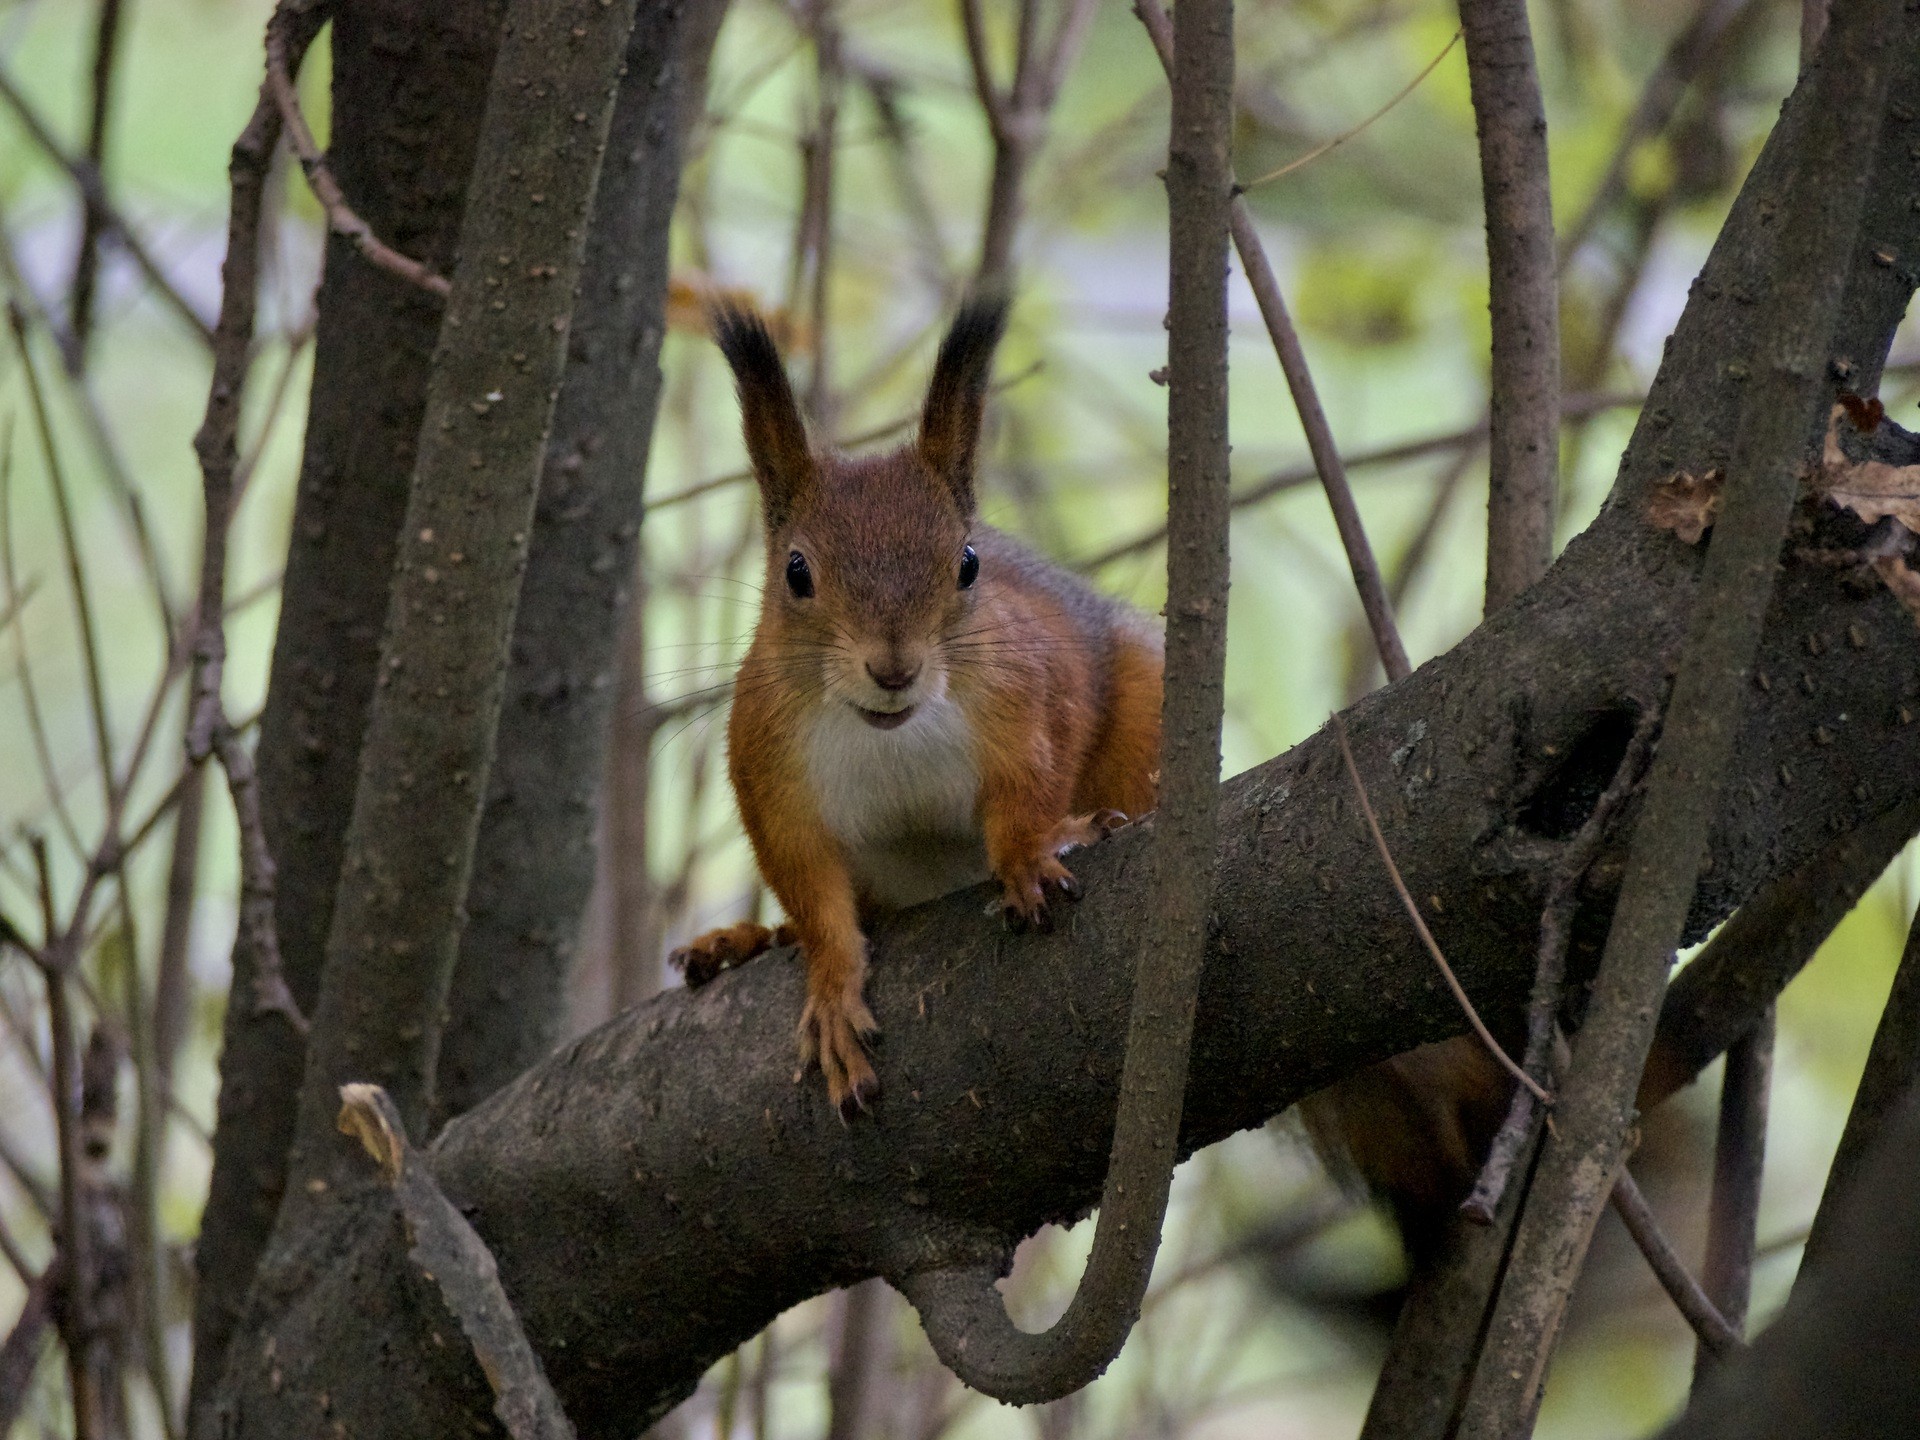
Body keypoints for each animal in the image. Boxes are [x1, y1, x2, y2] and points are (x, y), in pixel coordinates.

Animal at [668, 299, 1159, 1113]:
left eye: (969, 562)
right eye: (796, 573)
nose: (893, 668)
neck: (887, 735)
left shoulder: (1032, 694)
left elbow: (1033, 786)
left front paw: (1030, 853)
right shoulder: (768, 773)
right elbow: (811, 892)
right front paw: (832, 989)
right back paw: (744, 942)